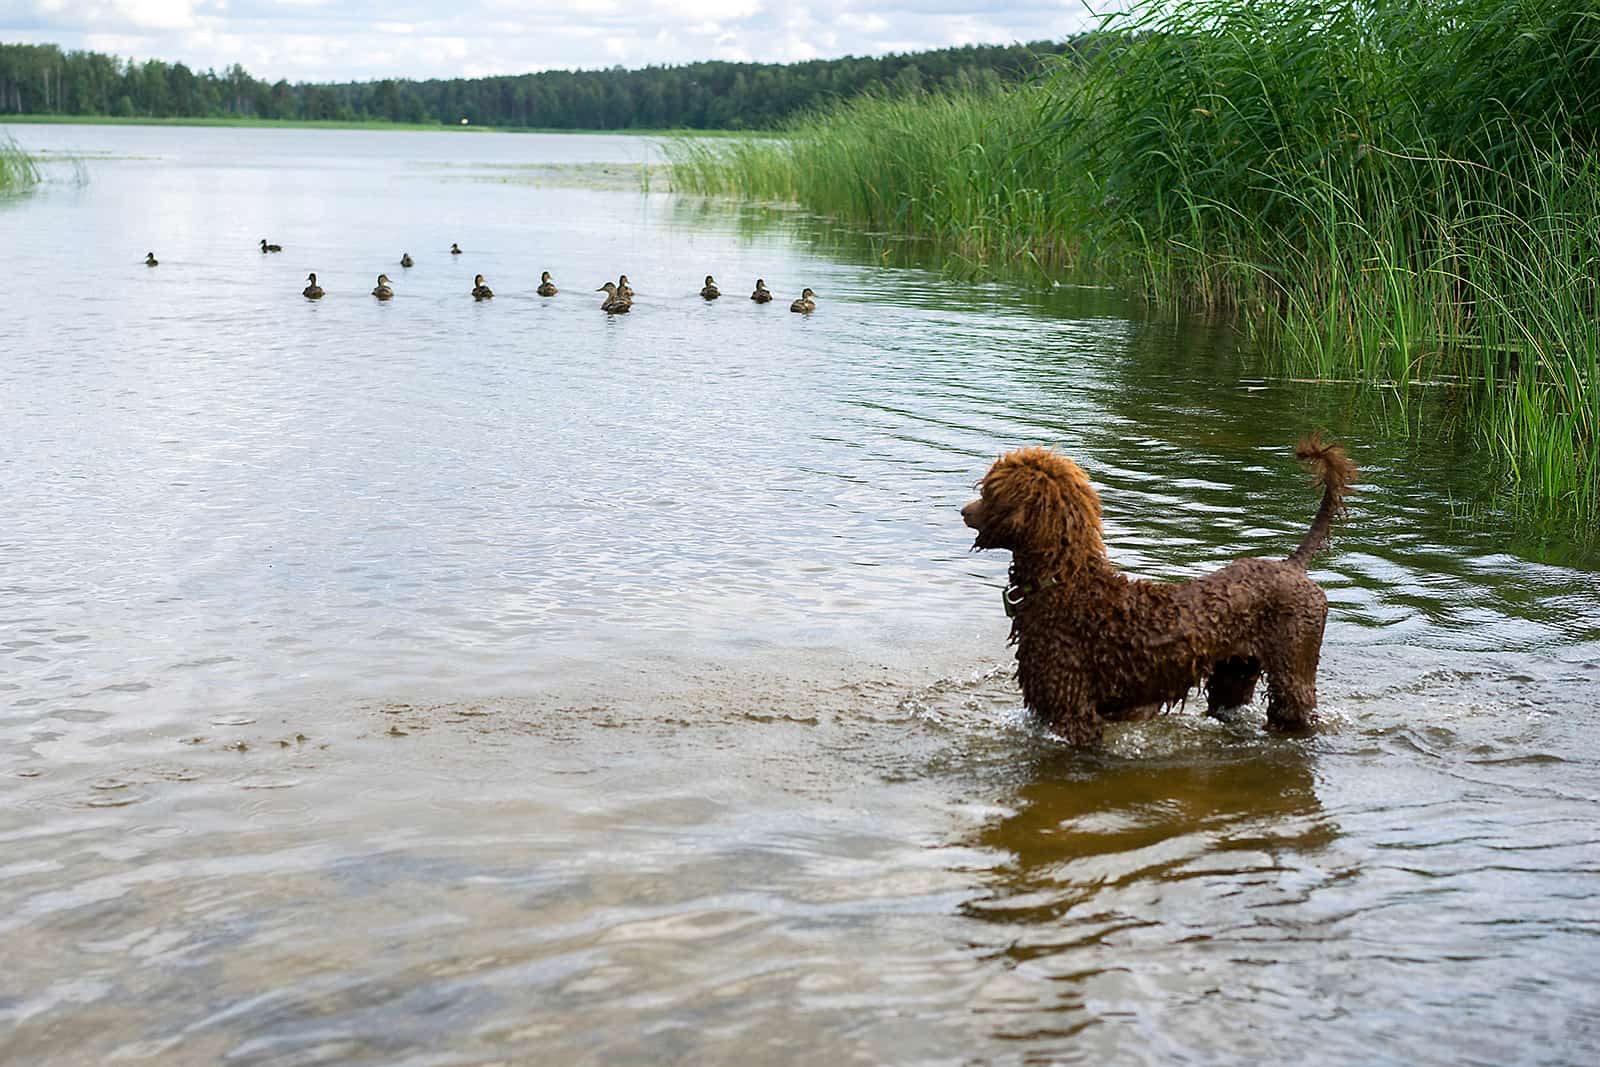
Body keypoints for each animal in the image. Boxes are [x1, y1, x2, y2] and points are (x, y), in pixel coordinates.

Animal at [953, 438, 1356, 748]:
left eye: (989, 493)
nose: (963, 511)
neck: (1066, 584)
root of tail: (1293, 564)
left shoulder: (1073, 714)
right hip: (1234, 674)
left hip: (1293, 666)